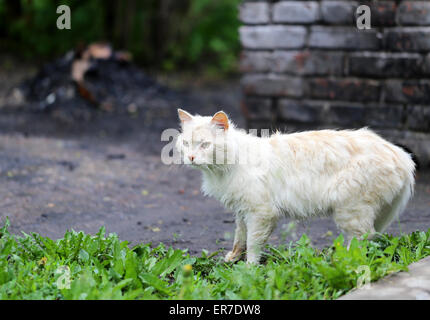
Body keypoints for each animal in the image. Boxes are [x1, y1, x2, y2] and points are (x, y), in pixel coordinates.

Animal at [175, 107, 416, 262]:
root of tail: (402, 155)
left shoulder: (261, 213)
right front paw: (233, 259)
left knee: (363, 239)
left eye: (205, 144)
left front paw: (249, 269)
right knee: (372, 236)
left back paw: (342, 260)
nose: (191, 157)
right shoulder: (242, 211)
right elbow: (239, 237)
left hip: (350, 210)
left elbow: (253, 244)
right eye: (186, 143)